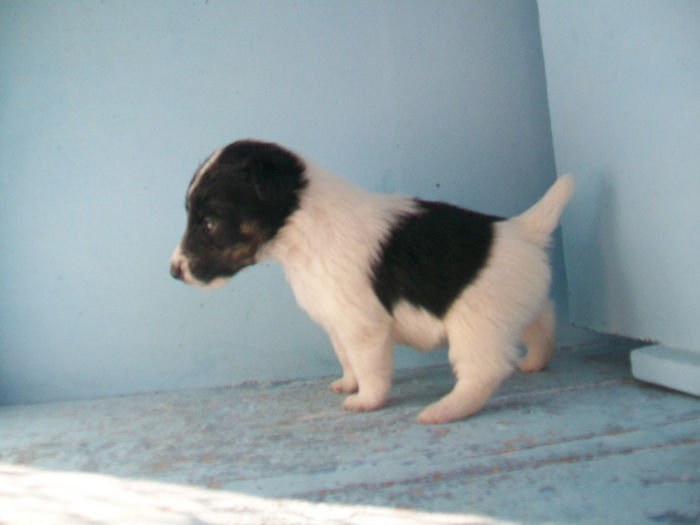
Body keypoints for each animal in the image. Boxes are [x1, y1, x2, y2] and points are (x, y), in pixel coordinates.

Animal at [171, 138, 576, 422]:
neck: (302, 227)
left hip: (476, 327)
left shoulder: (362, 327)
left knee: (483, 372)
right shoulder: (337, 324)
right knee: (544, 324)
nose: (174, 271)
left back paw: (443, 411)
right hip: (517, 307)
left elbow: (370, 368)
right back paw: (535, 362)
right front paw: (348, 384)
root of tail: (523, 230)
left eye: (209, 222)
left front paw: (366, 400)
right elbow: (347, 359)